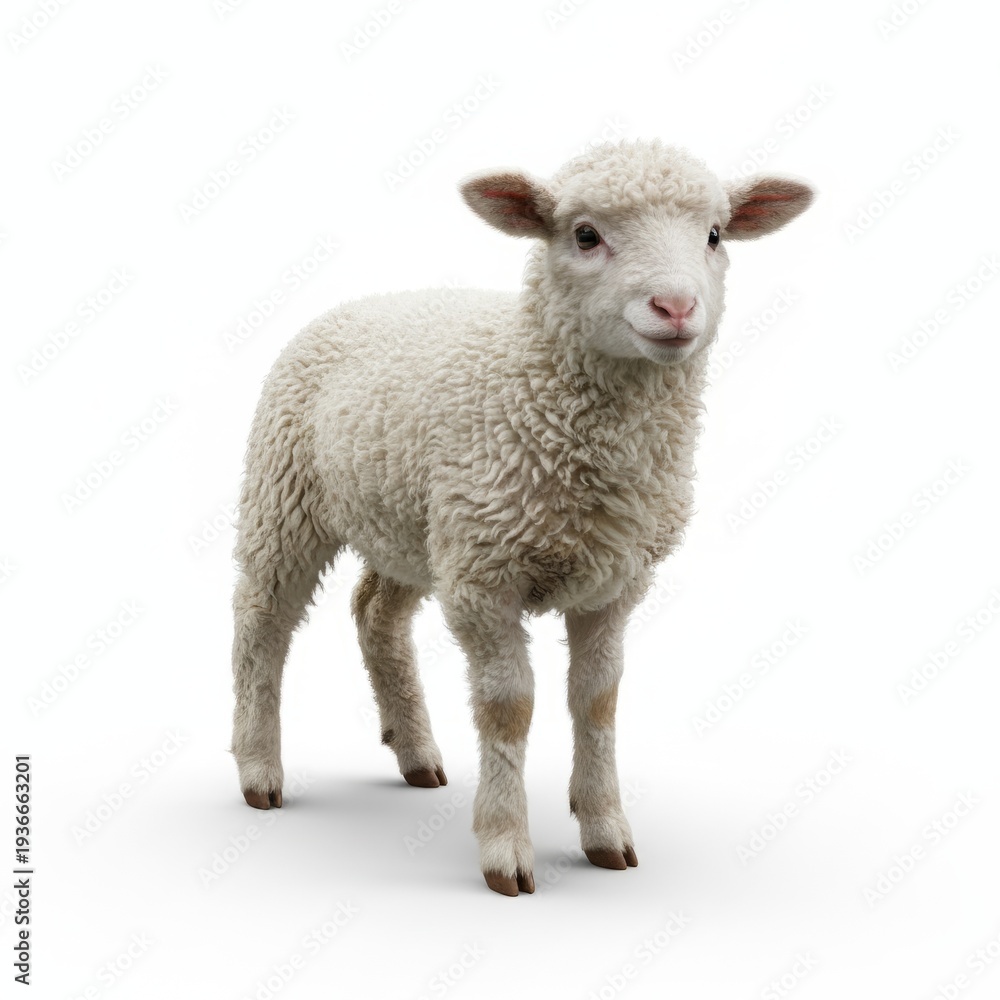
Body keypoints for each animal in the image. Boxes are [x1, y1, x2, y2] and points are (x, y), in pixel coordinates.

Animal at [230, 139, 814, 896]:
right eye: (585, 235)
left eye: (715, 235)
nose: (677, 306)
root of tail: (370, 300)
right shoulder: (483, 580)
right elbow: (511, 706)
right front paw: (505, 847)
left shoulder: (612, 582)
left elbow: (596, 700)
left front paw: (605, 831)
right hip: (286, 494)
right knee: (261, 623)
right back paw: (258, 768)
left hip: (412, 526)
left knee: (375, 613)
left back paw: (414, 752)